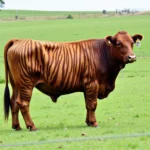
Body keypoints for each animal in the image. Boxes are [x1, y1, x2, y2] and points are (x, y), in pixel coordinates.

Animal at [3, 31, 143, 131]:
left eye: (132, 43)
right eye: (118, 43)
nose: (132, 57)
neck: (102, 54)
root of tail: (18, 40)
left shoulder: (87, 88)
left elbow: (87, 104)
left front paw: (88, 122)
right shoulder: (92, 84)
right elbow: (92, 104)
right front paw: (94, 123)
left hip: (16, 85)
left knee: (13, 102)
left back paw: (17, 126)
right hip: (26, 84)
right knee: (23, 104)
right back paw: (32, 126)